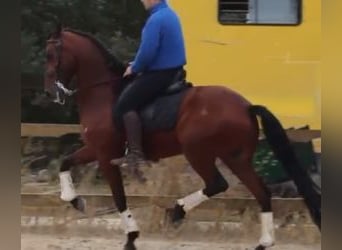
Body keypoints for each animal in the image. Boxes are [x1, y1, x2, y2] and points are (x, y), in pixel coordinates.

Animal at [43, 25, 320, 250]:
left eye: (50, 55)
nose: (49, 92)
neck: (103, 93)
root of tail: (246, 106)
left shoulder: (105, 155)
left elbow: (119, 197)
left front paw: (131, 237)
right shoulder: (94, 150)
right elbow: (65, 163)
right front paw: (74, 200)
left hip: (197, 152)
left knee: (218, 184)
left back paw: (176, 211)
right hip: (236, 158)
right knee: (261, 192)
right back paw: (263, 242)